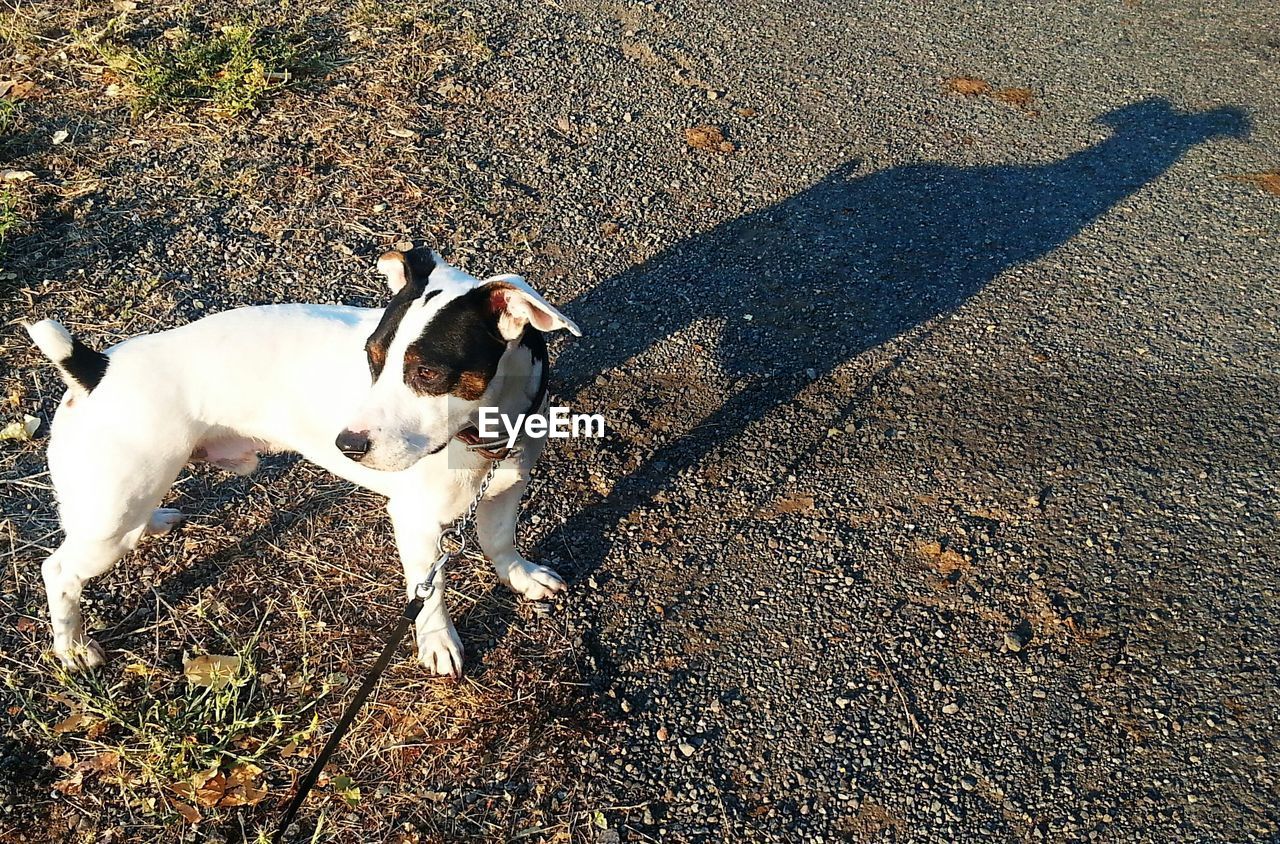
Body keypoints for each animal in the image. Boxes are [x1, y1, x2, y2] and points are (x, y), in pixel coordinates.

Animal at [23, 247, 581, 676]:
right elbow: (432, 589)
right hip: (109, 522)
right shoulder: (417, 523)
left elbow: (500, 540)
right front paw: (438, 641)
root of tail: (94, 368)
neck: (484, 432)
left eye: (426, 372)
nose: (347, 445)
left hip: (122, 505)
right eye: (372, 359)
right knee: (59, 570)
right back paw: (73, 647)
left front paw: (520, 577)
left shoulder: (507, 488)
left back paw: (156, 522)